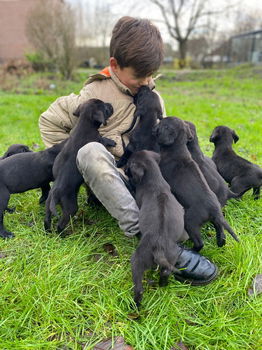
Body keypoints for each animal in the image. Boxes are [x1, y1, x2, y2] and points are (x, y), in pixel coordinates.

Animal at [44, 98, 115, 234]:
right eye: (106, 108)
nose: (111, 104)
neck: (84, 123)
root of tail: (55, 193)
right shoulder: (98, 139)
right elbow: (104, 139)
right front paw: (112, 141)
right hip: (70, 207)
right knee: (61, 224)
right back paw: (64, 234)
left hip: (48, 205)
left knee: (47, 219)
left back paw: (48, 231)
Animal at [125, 150, 184, 306]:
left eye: (129, 163)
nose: (125, 170)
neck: (154, 180)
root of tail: (159, 247)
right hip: (172, 255)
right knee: (165, 272)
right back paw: (162, 285)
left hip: (137, 261)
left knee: (139, 289)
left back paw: (136, 305)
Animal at [154, 117, 239, 252]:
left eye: (162, 123)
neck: (177, 149)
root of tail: (214, 209)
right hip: (215, 219)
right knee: (221, 231)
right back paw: (220, 242)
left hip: (190, 221)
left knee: (200, 243)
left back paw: (191, 249)